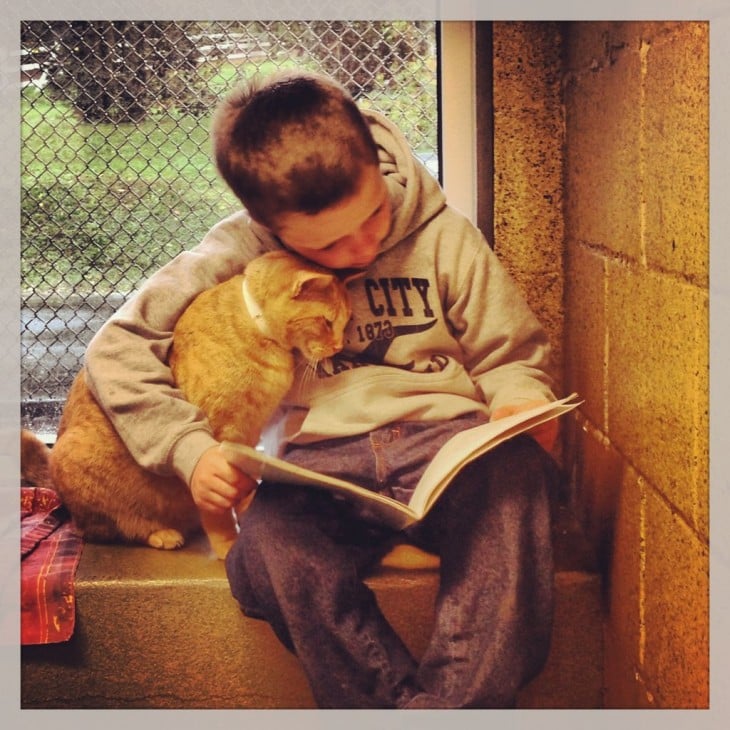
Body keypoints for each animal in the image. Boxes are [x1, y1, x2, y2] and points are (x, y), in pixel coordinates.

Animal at [48, 250, 350, 556]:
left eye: (345, 323)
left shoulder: (247, 436)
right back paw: (161, 534)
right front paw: (228, 545)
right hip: (77, 467)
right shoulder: (221, 437)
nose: (339, 346)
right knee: (111, 528)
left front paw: (247, 503)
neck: (259, 330)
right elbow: (218, 508)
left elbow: (244, 479)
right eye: (326, 322)